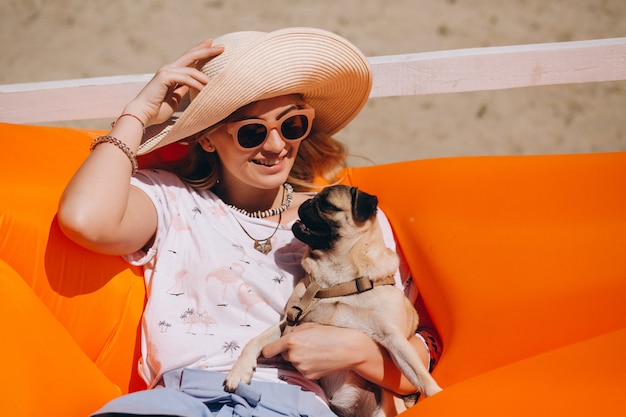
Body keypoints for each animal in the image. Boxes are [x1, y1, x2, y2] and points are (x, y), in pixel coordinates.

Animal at [223, 186, 438, 416]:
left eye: (326, 204)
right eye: (314, 199)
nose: (306, 202)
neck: (336, 280)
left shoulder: (394, 338)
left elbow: (421, 375)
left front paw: (436, 394)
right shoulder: (289, 320)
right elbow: (255, 341)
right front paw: (239, 372)